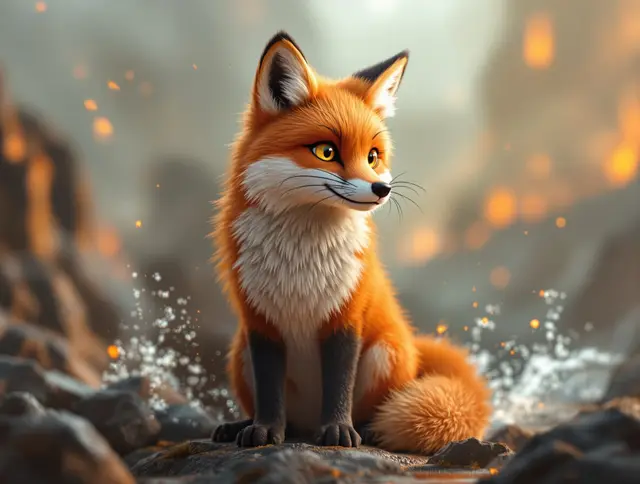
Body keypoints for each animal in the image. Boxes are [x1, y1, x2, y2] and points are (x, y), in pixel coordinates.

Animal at [211, 31, 491, 453]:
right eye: (326, 151)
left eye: (373, 156)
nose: (382, 189)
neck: (301, 258)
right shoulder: (260, 322)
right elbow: (270, 392)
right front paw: (264, 430)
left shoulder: (347, 316)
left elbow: (339, 386)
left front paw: (338, 432)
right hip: (239, 354)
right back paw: (245, 424)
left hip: (383, 353)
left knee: (372, 408)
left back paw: (367, 429)